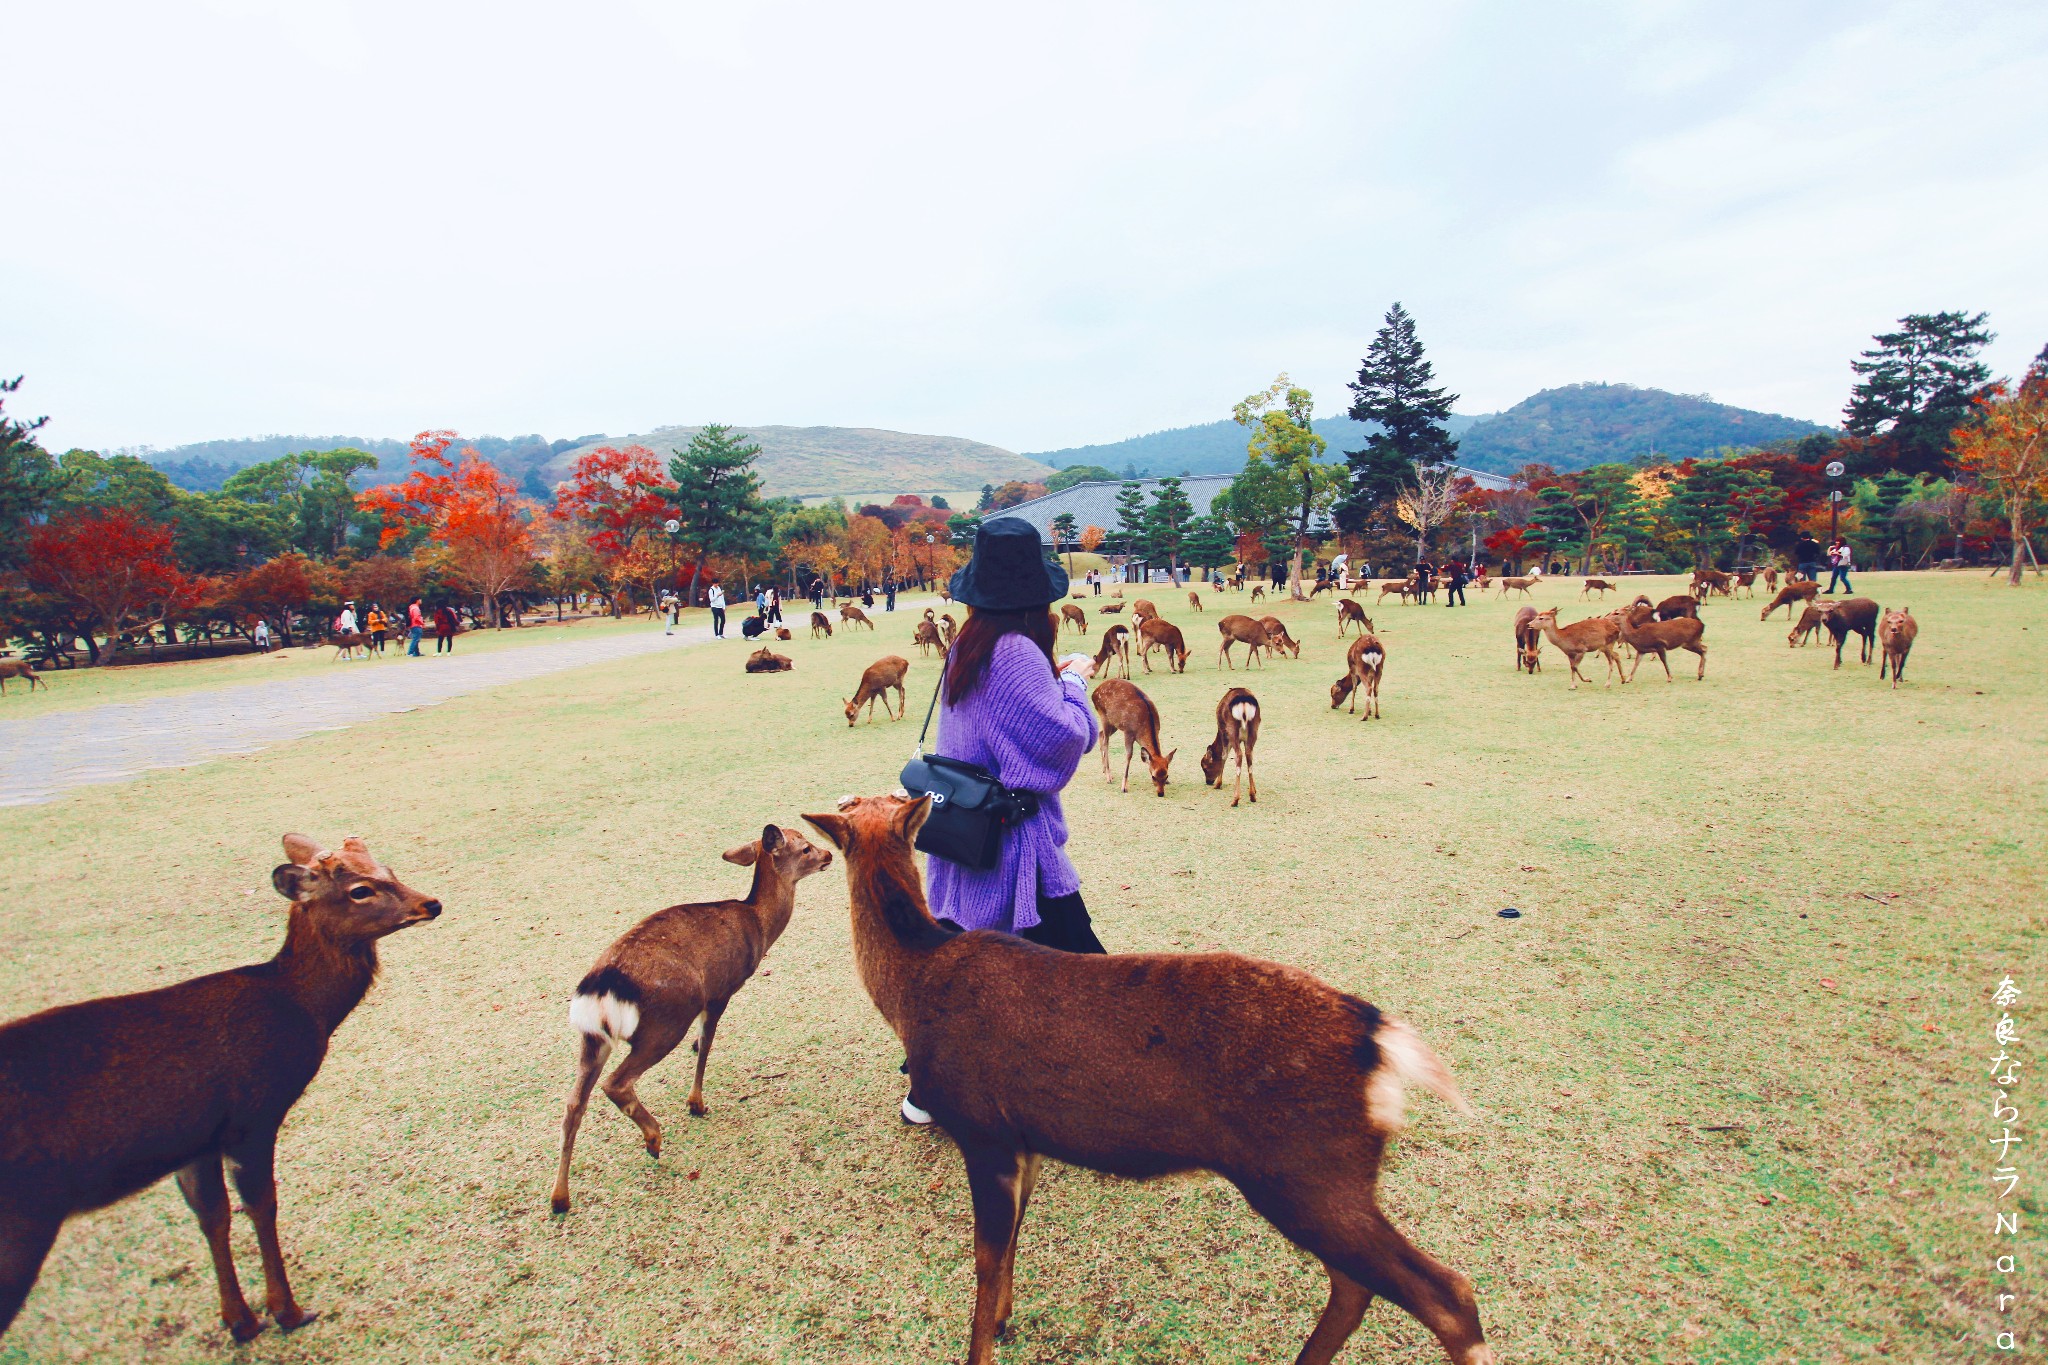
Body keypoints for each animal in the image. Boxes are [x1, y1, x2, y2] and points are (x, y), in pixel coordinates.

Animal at [0, 839, 444, 1342]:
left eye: (388, 868)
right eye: (360, 890)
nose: (430, 903)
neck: (302, 1009)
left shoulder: (195, 1140)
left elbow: (212, 1215)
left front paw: (240, 1321)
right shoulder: (251, 1115)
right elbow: (262, 1204)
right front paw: (288, 1311)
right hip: (20, 1222)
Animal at [552, 822, 831, 1219]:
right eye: (806, 848)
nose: (829, 855)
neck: (759, 926)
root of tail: (602, 986)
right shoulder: (721, 990)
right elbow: (706, 1046)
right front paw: (696, 1104)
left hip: (593, 1038)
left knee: (573, 1104)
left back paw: (560, 1198)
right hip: (666, 1020)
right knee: (616, 1083)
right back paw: (654, 1139)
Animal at [798, 794, 1490, 1365]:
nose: (814, 840)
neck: (911, 990)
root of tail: (1378, 1040)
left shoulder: (982, 1128)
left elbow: (984, 1260)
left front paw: (983, 1340)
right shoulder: (1025, 1142)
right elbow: (1011, 1246)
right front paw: (1005, 1321)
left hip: (1306, 1170)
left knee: (1445, 1293)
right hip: (1319, 1179)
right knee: (1357, 1285)